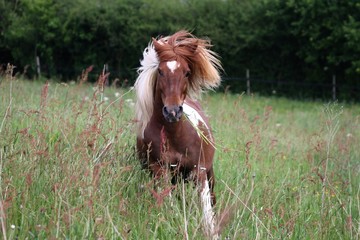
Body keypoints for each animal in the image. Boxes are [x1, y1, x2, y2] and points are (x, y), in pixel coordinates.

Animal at [134, 30, 221, 238]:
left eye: (187, 72)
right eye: (160, 71)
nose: (172, 112)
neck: (175, 137)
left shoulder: (199, 171)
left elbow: (207, 210)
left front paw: (212, 232)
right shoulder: (160, 171)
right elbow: (168, 202)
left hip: (209, 173)